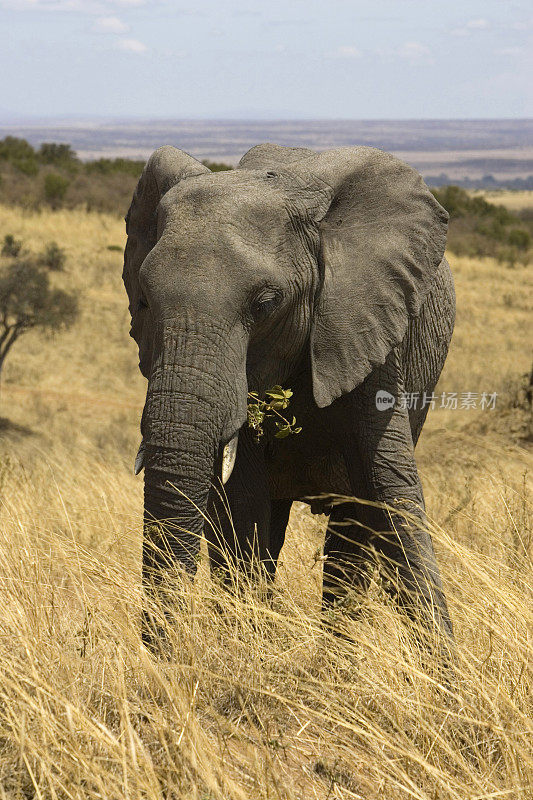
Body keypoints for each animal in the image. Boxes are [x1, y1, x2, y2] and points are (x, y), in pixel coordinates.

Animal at [122, 142, 456, 644]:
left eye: (266, 304)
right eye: (143, 300)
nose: (165, 651)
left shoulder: (370, 327)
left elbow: (387, 490)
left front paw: (446, 663)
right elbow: (242, 506)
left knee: (350, 536)